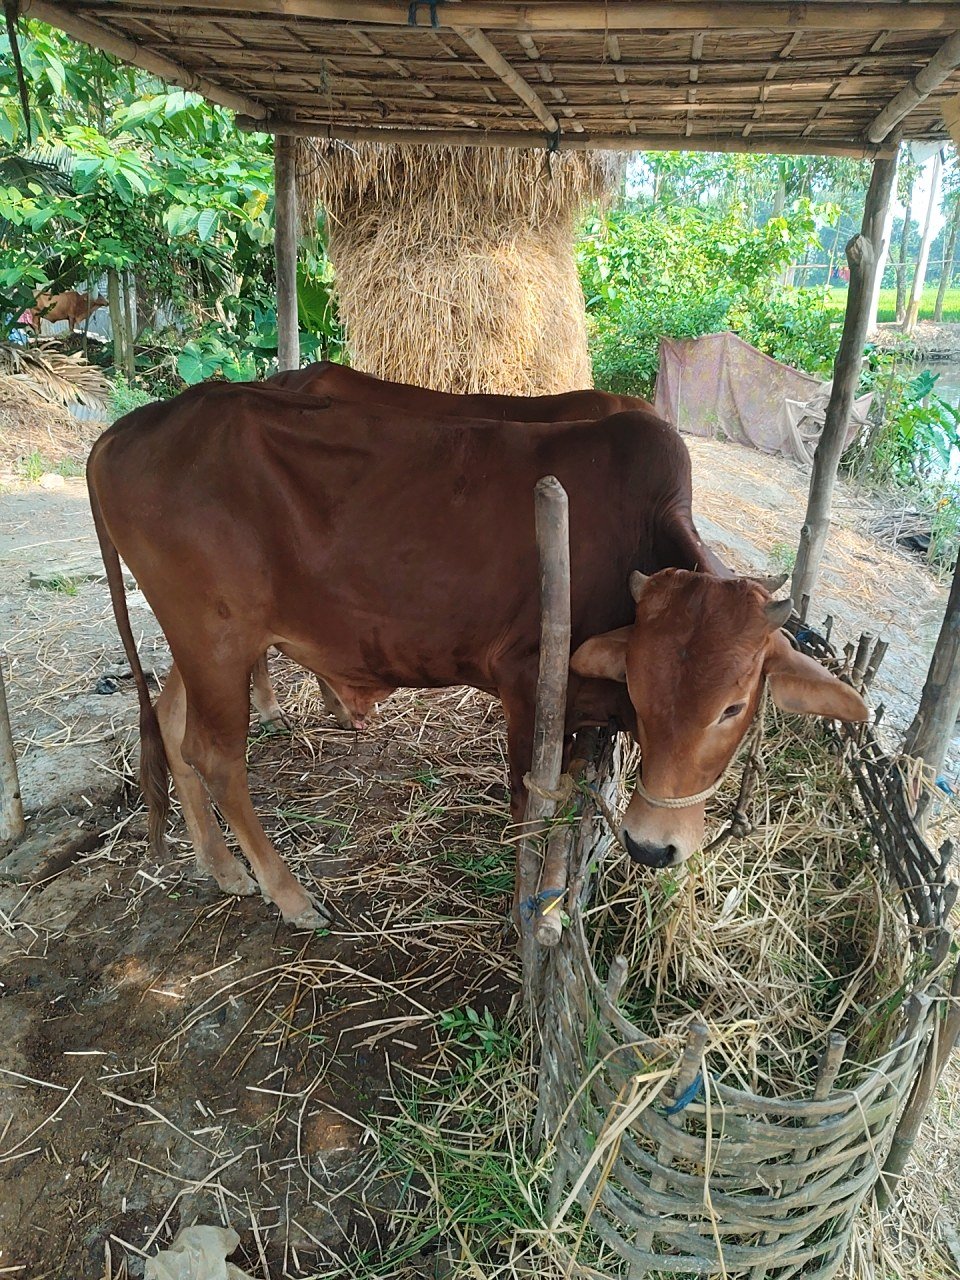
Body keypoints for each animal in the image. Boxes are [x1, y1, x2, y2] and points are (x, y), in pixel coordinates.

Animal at [87, 385, 867, 930]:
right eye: (643, 693)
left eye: (733, 706)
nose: (651, 848)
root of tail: (124, 432)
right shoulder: (527, 683)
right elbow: (529, 801)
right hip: (215, 639)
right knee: (217, 757)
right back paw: (291, 896)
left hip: (206, 644)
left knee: (173, 725)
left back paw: (221, 868)